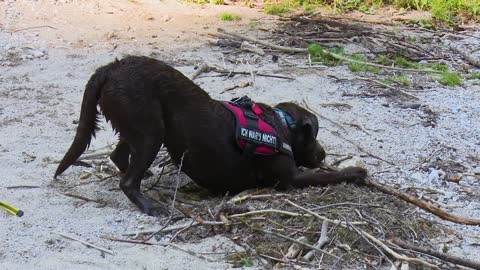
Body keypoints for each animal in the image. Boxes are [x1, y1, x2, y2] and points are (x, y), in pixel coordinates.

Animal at [53, 56, 368, 216]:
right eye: (313, 136)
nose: (323, 153)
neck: (280, 125)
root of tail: (110, 68)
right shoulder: (290, 180)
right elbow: (330, 175)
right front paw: (355, 172)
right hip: (150, 130)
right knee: (127, 180)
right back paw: (153, 207)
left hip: (138, 125)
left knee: (119, 155)